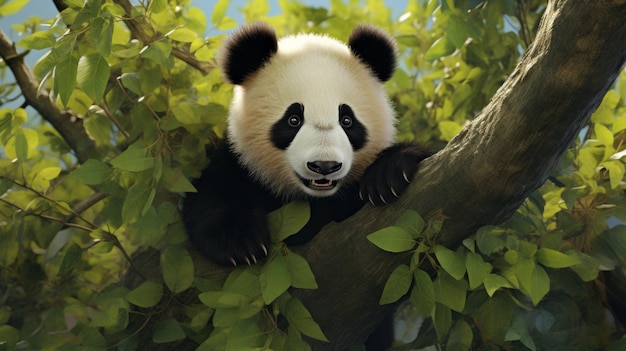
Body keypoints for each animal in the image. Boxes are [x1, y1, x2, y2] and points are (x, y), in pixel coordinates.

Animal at [182, 22, 428, 266]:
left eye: (347, 120)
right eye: (293, 119)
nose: (324, 166)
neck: (313, 198)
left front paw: (387, 174)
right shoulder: (240, 163)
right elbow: (212, 194)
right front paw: (240, 240)